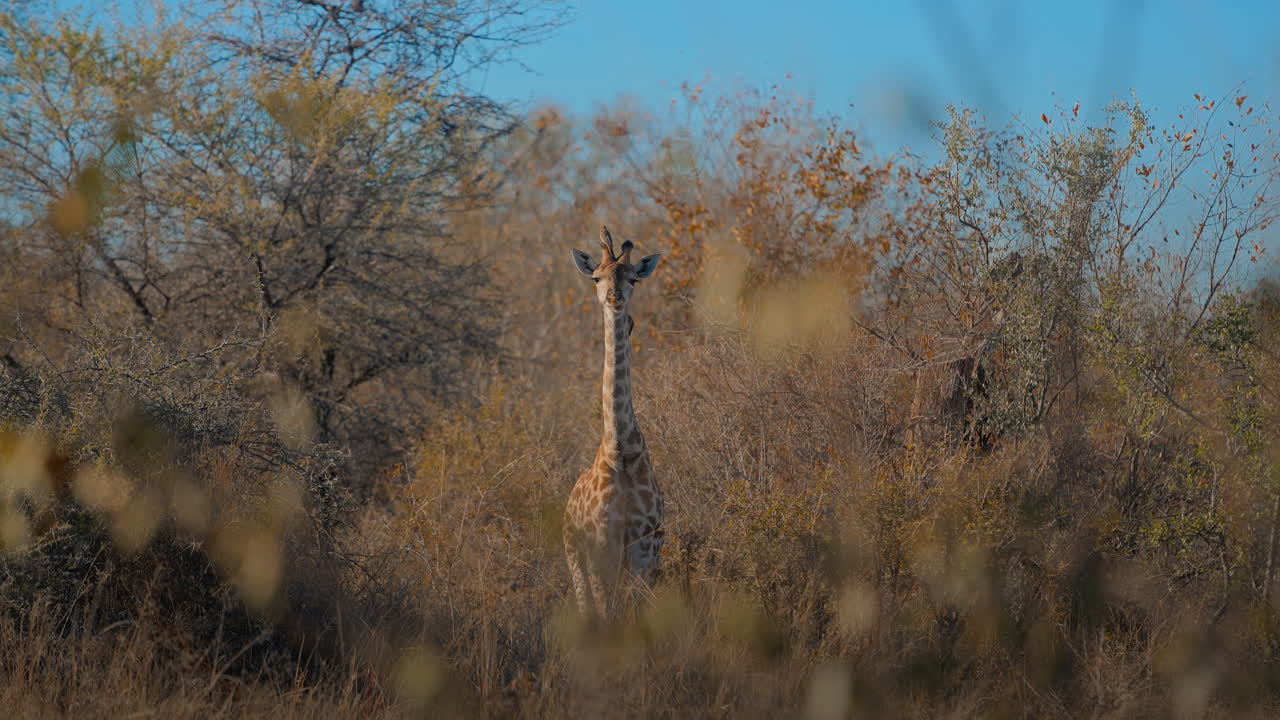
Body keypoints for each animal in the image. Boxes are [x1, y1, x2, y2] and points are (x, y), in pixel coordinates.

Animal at [563, 226, 664, 619]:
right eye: (597, 277)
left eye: (633, 277)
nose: (613, 297)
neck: (621, 448)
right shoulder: (600, 544)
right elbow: (607, 613)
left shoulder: (644, 543)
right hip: (574, 554)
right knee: (586, 608)